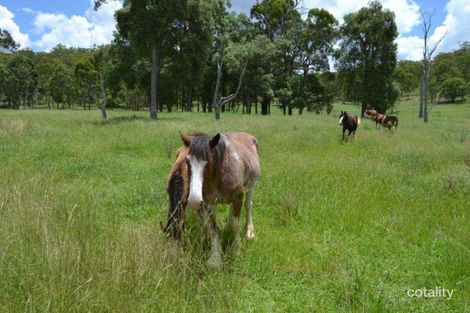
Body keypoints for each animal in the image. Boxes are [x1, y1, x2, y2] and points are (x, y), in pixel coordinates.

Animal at [162, 130, 258, 266]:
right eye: (187, 161)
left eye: (208, 161)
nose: (194, 200)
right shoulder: (209, 203)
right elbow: (213, 229)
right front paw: (215, 258)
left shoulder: (237, 198)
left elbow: (236, 226)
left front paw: (236, 251)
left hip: (252, 186)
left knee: (248, 206)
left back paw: (249, 231)